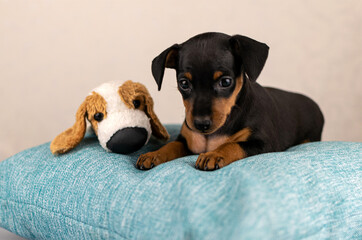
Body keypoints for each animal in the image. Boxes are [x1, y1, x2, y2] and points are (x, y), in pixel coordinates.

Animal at [136, 32, 326, 171]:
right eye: (184, 83)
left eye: (226, 82)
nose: (201, 124)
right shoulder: (186, 141)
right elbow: (171, 145)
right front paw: (153, 154)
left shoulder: (265, 143)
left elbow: (234, 145)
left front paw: (213, 155)